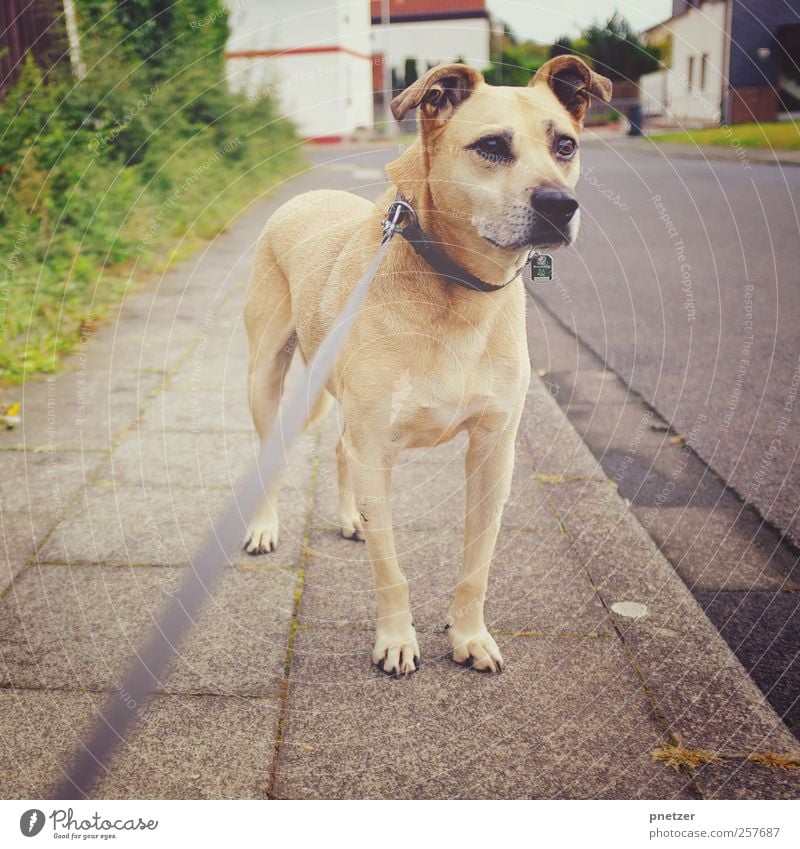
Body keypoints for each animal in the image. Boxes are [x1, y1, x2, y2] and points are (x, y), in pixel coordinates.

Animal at [241, 54, 608, 676]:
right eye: (491, 146)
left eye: (565, 145)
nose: (560, 205)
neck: (458, 290)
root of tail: (307, 194)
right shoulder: (377, 451)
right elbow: (392, 570)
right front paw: (395, 640)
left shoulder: (493, 452)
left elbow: (477, 564)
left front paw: (469, 635)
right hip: (265, 377)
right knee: (272, 452)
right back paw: (265, 528)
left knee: (338, 450)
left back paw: (350, 519)